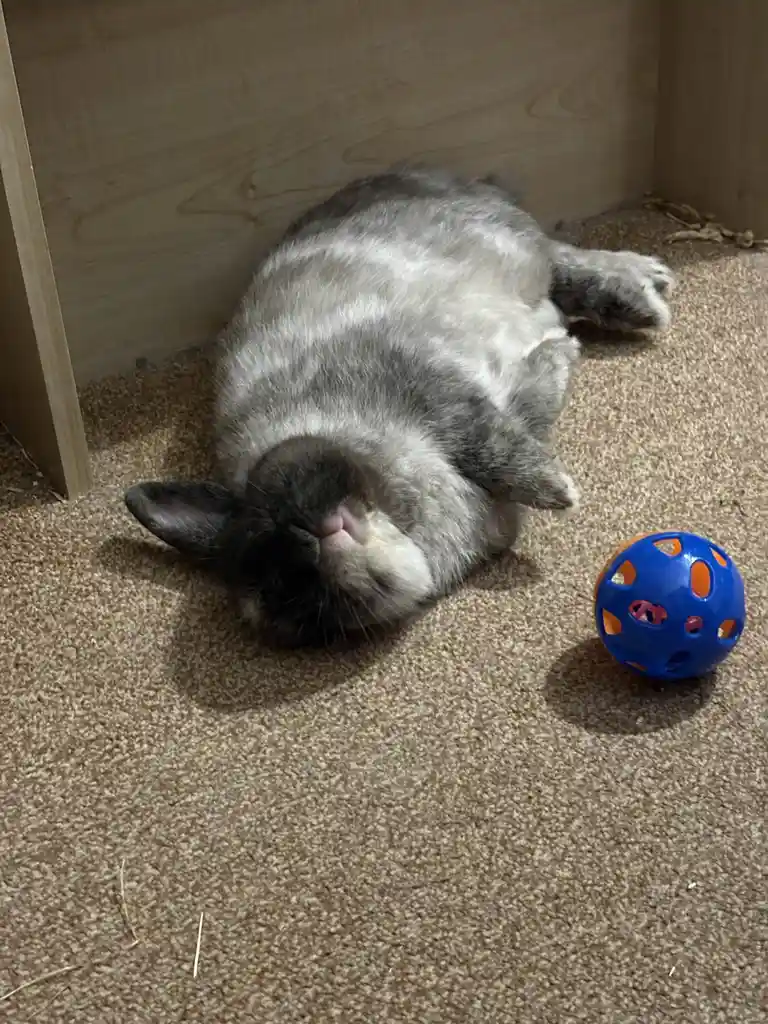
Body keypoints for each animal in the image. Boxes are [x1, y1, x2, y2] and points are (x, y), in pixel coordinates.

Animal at [125, 166, 674, 645]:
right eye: (291, 594)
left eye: (273, 510)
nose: (304, 541)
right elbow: (530, 406)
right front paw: (559, 358)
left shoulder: (430, 386)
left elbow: (489, 440)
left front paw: (556, 488)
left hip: (507, 243)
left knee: (558, 255)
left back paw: (643, 287)